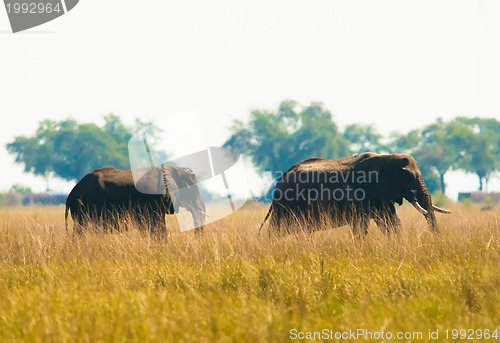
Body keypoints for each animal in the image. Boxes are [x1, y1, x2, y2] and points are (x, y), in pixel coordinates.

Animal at [260, 152, 452, 238]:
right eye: (410, 177)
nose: (434, 239)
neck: (386, 158)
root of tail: (280, 179)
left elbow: (391, 222)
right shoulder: (361, 195)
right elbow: (361, 226)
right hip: (286, 204)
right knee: (276, 230)